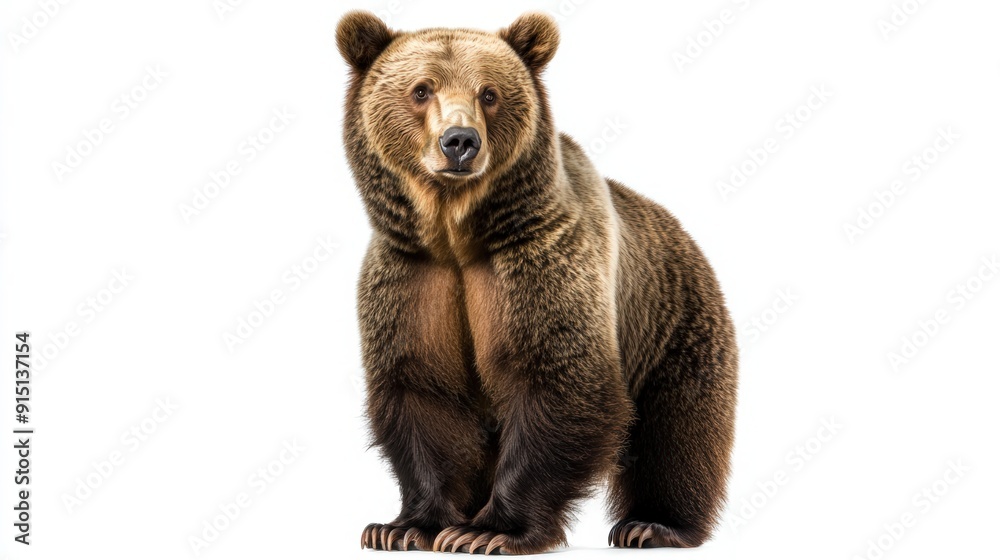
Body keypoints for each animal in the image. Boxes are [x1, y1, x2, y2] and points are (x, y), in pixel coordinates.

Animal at [336, 11, 738, 555]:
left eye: (488, 93)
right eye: (422, 89)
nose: (460, 141)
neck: (456, 234)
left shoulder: (541, 263)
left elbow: (559, 381)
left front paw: (485, 531)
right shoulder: (412, 277)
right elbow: (422, 391)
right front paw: (403, 527)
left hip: (672, 322)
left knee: (675, 430)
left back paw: (652, 524)